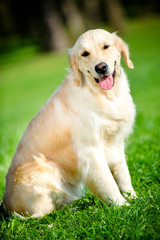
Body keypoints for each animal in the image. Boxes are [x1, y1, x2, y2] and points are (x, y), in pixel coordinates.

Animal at [3, 28, 136, 218]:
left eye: (106, 46)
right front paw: (122, 205)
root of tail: (7, 207)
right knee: (43, 213)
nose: (101, 67)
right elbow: (107, 182)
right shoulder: (90, 150)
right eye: (85, 54)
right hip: (46, 170)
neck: (104, 95)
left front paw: (134, 198)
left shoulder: (116, 144)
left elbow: (124, 175)